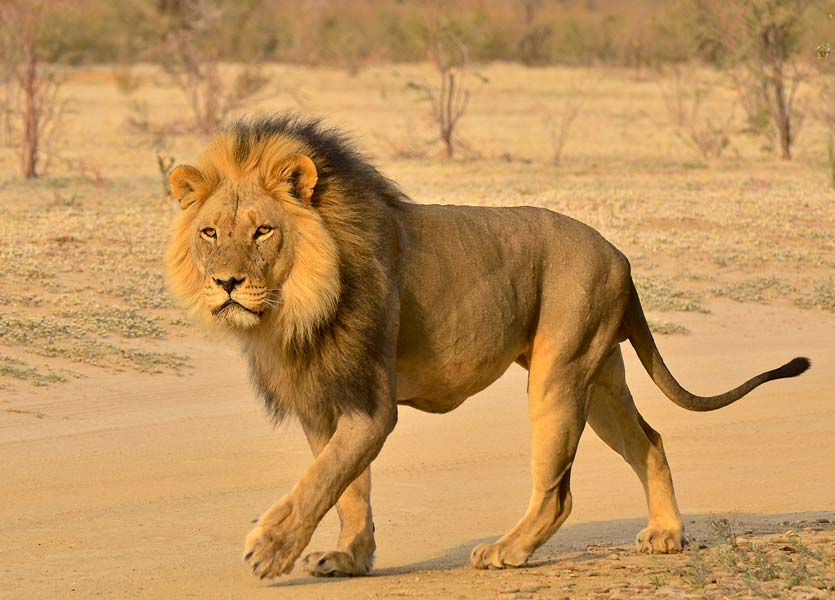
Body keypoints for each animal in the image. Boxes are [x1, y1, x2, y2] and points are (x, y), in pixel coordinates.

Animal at [164, 115, 810, 580]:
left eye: (263, 231)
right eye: (210, 232)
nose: (225, 283)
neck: (298, 305)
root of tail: (620, 257)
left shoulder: (372, 406)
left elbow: (319, 481)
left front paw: (269, 548)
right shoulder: (322, 403)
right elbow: (347, 487)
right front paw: (350, 558)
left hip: (559, 375)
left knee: (558, 491)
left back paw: (507, 550)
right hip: (600, 375)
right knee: (649, 441)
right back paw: (668, 534)